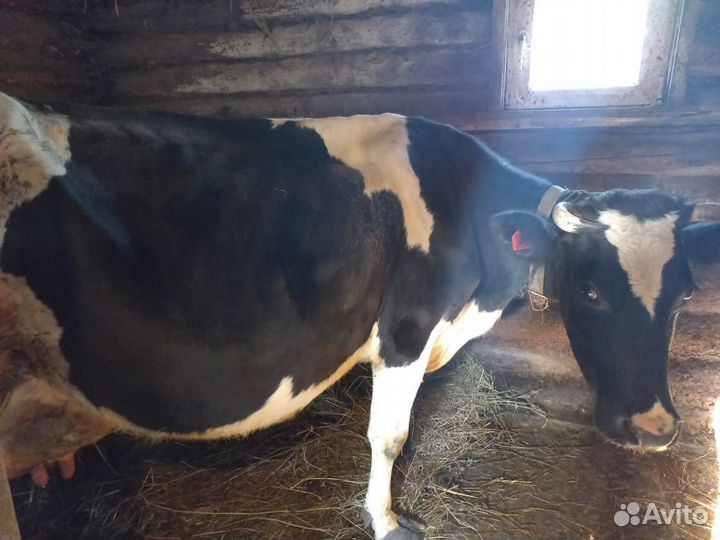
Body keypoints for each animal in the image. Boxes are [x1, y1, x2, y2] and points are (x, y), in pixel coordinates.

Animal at [0, 92, 718, 540]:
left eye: (685, 295)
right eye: (590, 292)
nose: (654, 428)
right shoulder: (406, 331)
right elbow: (389, 437)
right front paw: (389, 521)